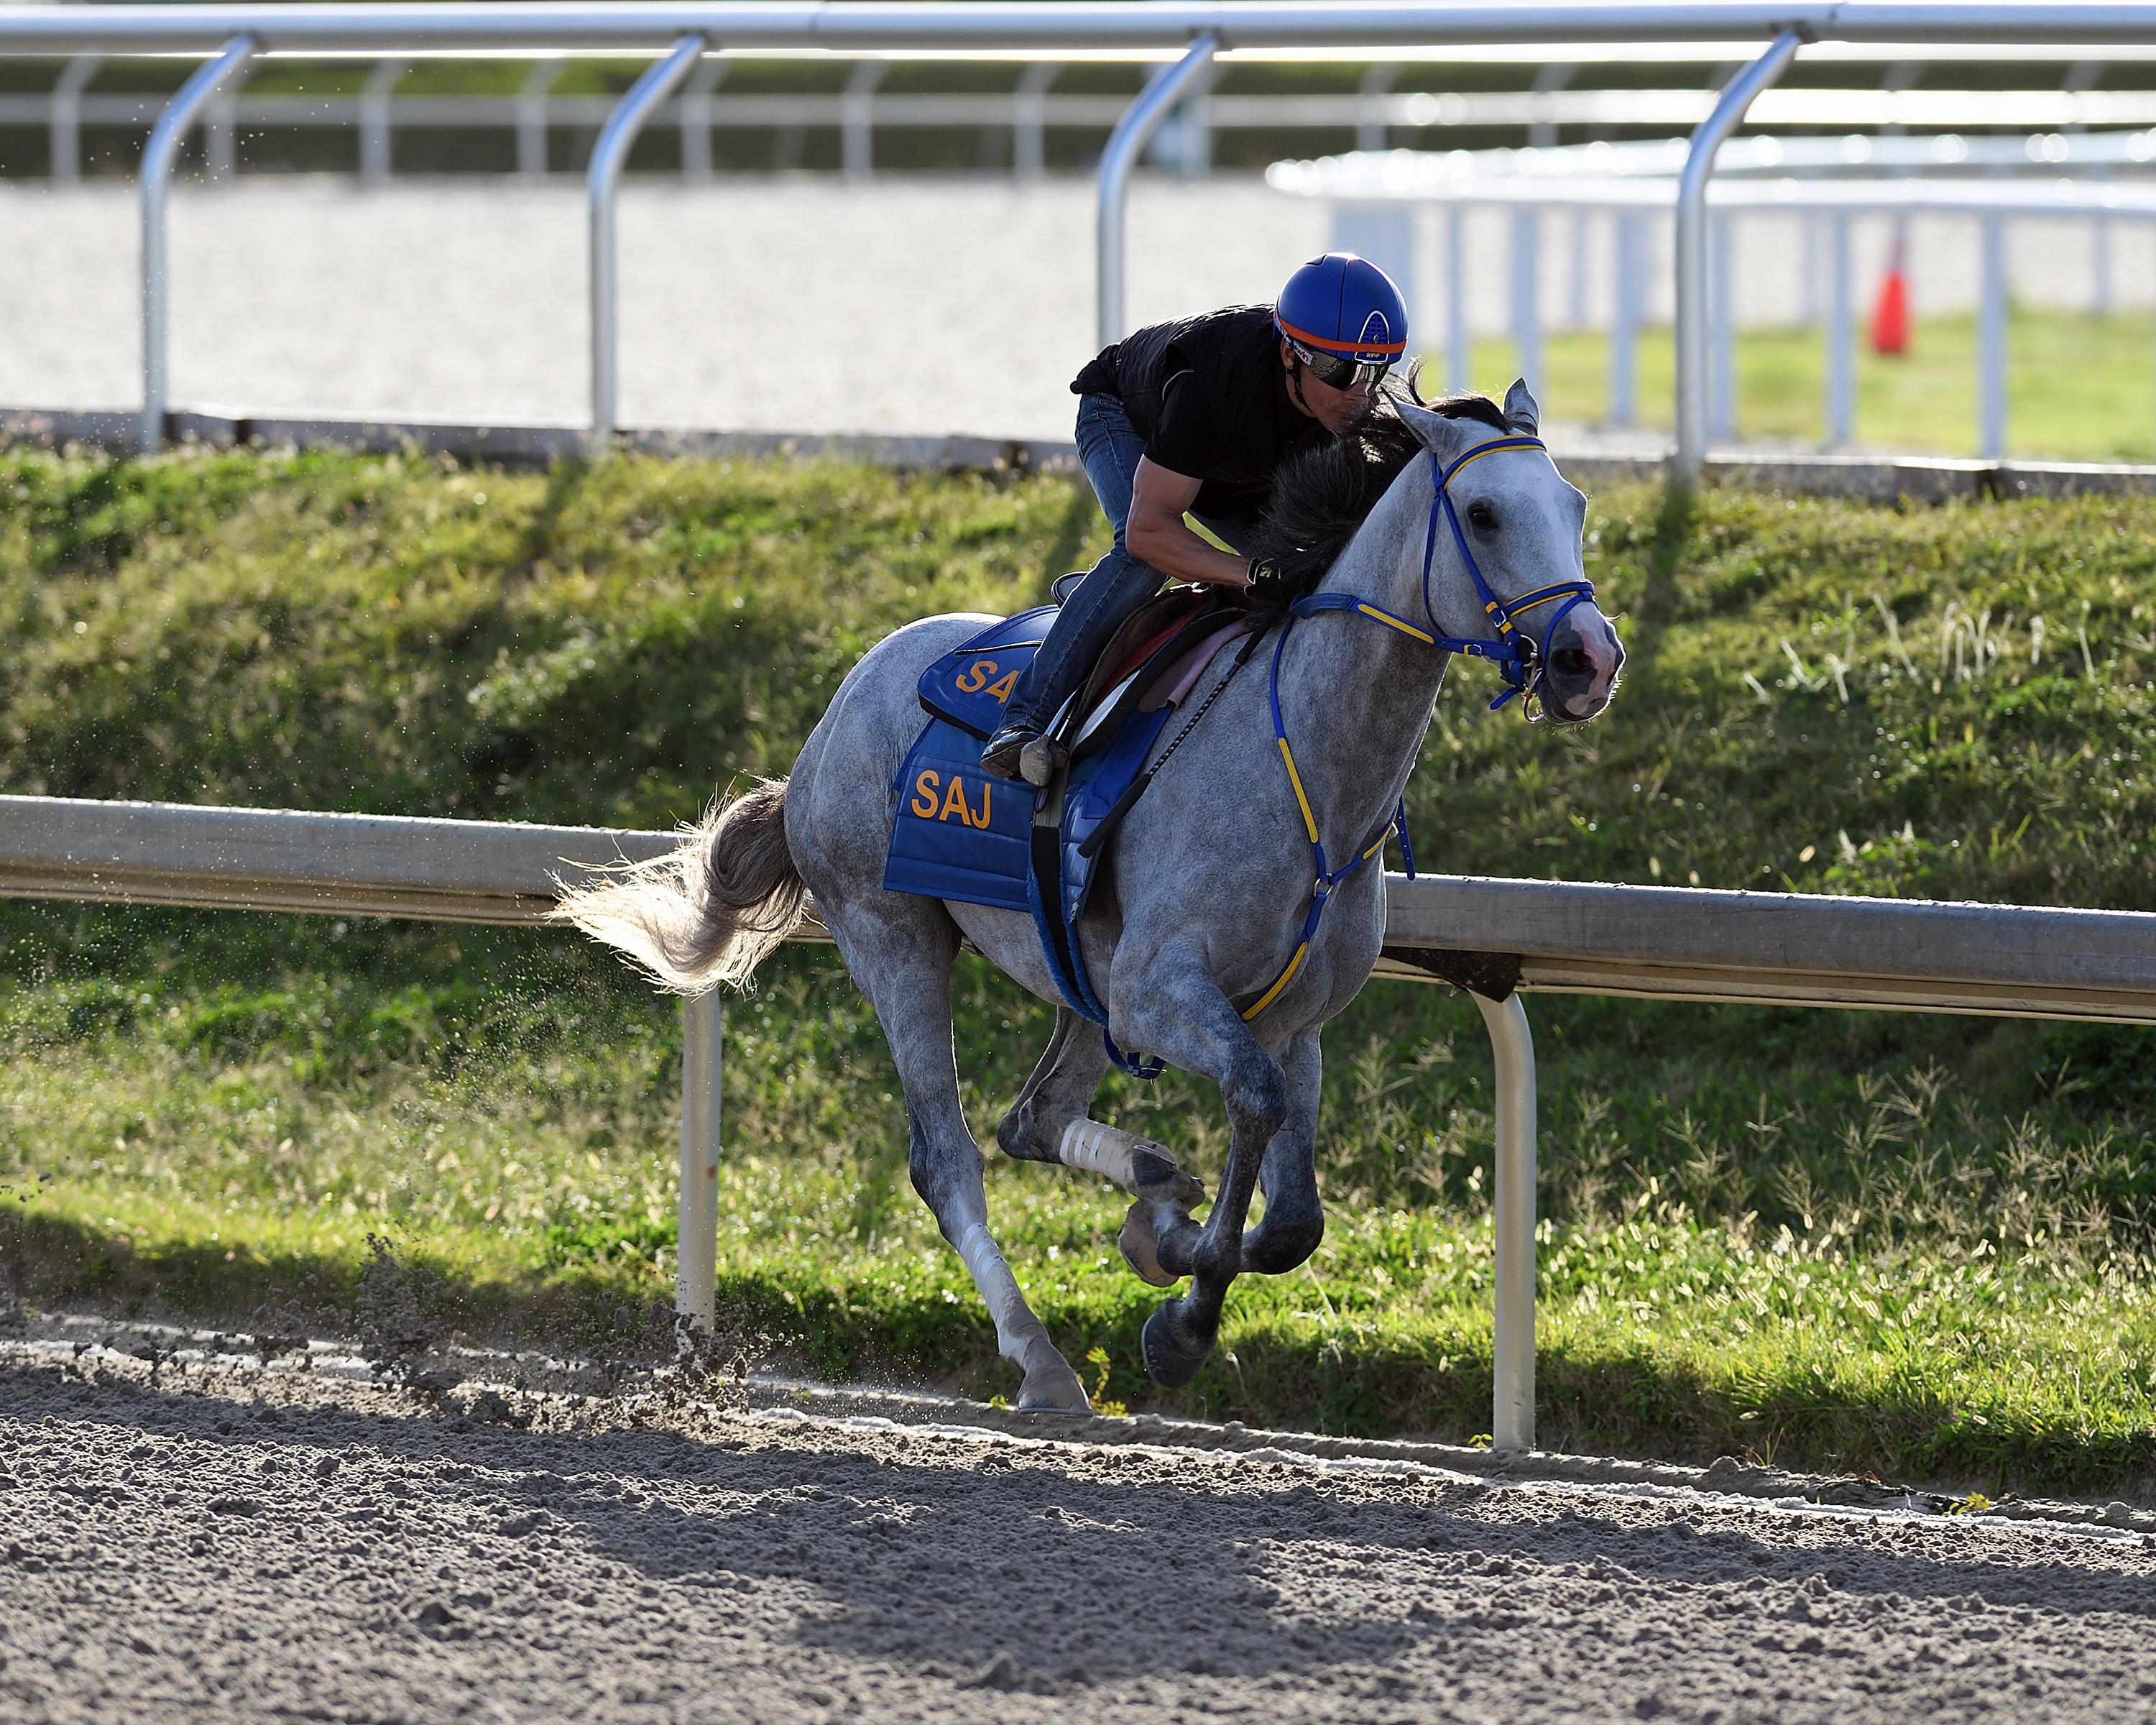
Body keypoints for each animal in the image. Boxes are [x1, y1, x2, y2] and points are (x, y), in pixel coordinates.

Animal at [558, 380, 1625, 1412]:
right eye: (1483, 514)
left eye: (1575, 505)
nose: (1590, 658)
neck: (1313, 768)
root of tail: (828, 722)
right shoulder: (1162, 992)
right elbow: (1255, 1107)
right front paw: (1183, 1314)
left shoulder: (1292, 1018)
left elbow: (1295, 1220)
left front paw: (1171, 1247)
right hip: (890, 933)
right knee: (948, 1159)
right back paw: (1040, 1358)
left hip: (1077, 971)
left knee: (1033, 1118)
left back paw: (1152, 1186)